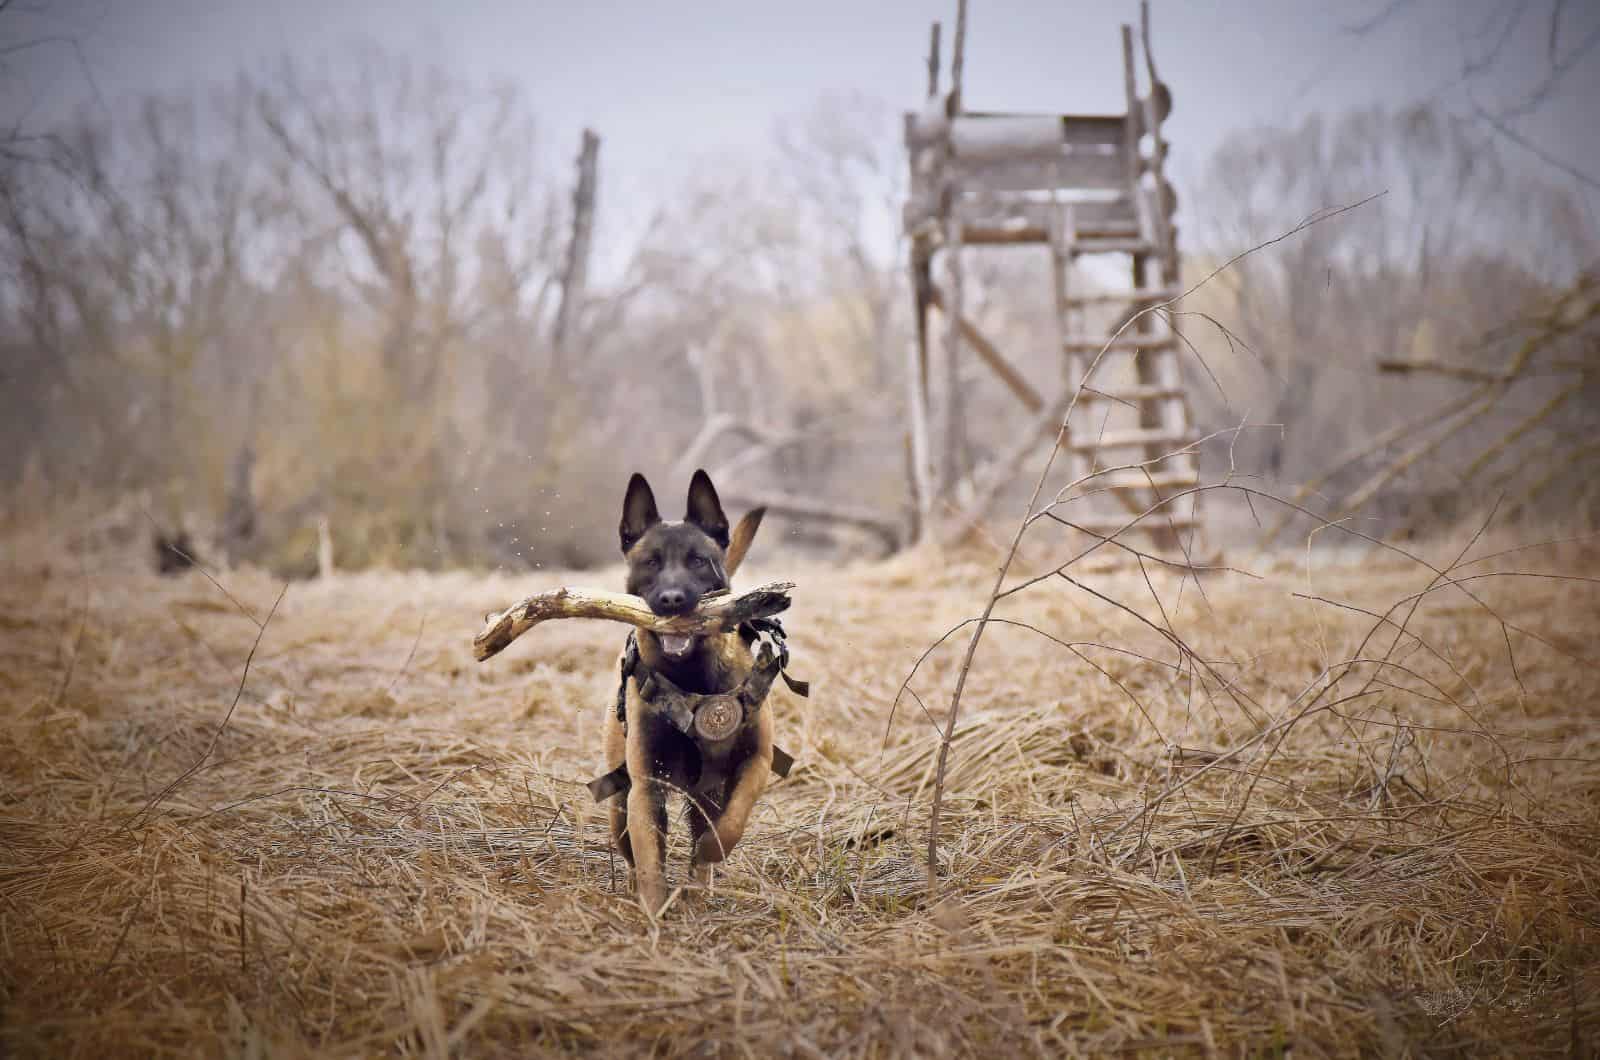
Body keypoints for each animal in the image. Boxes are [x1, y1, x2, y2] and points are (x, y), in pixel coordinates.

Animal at [601, 470, 771, 915]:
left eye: (697, 560)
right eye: (651, 563)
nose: (672, 600)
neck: (691, 677)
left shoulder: (757, 761)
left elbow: (730, 824)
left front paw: (712, 851)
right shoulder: (646, 786)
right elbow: (649, 858)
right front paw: (654, 912)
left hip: (704, 793)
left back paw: (699, 886)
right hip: (619, 802)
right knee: (628, 847)